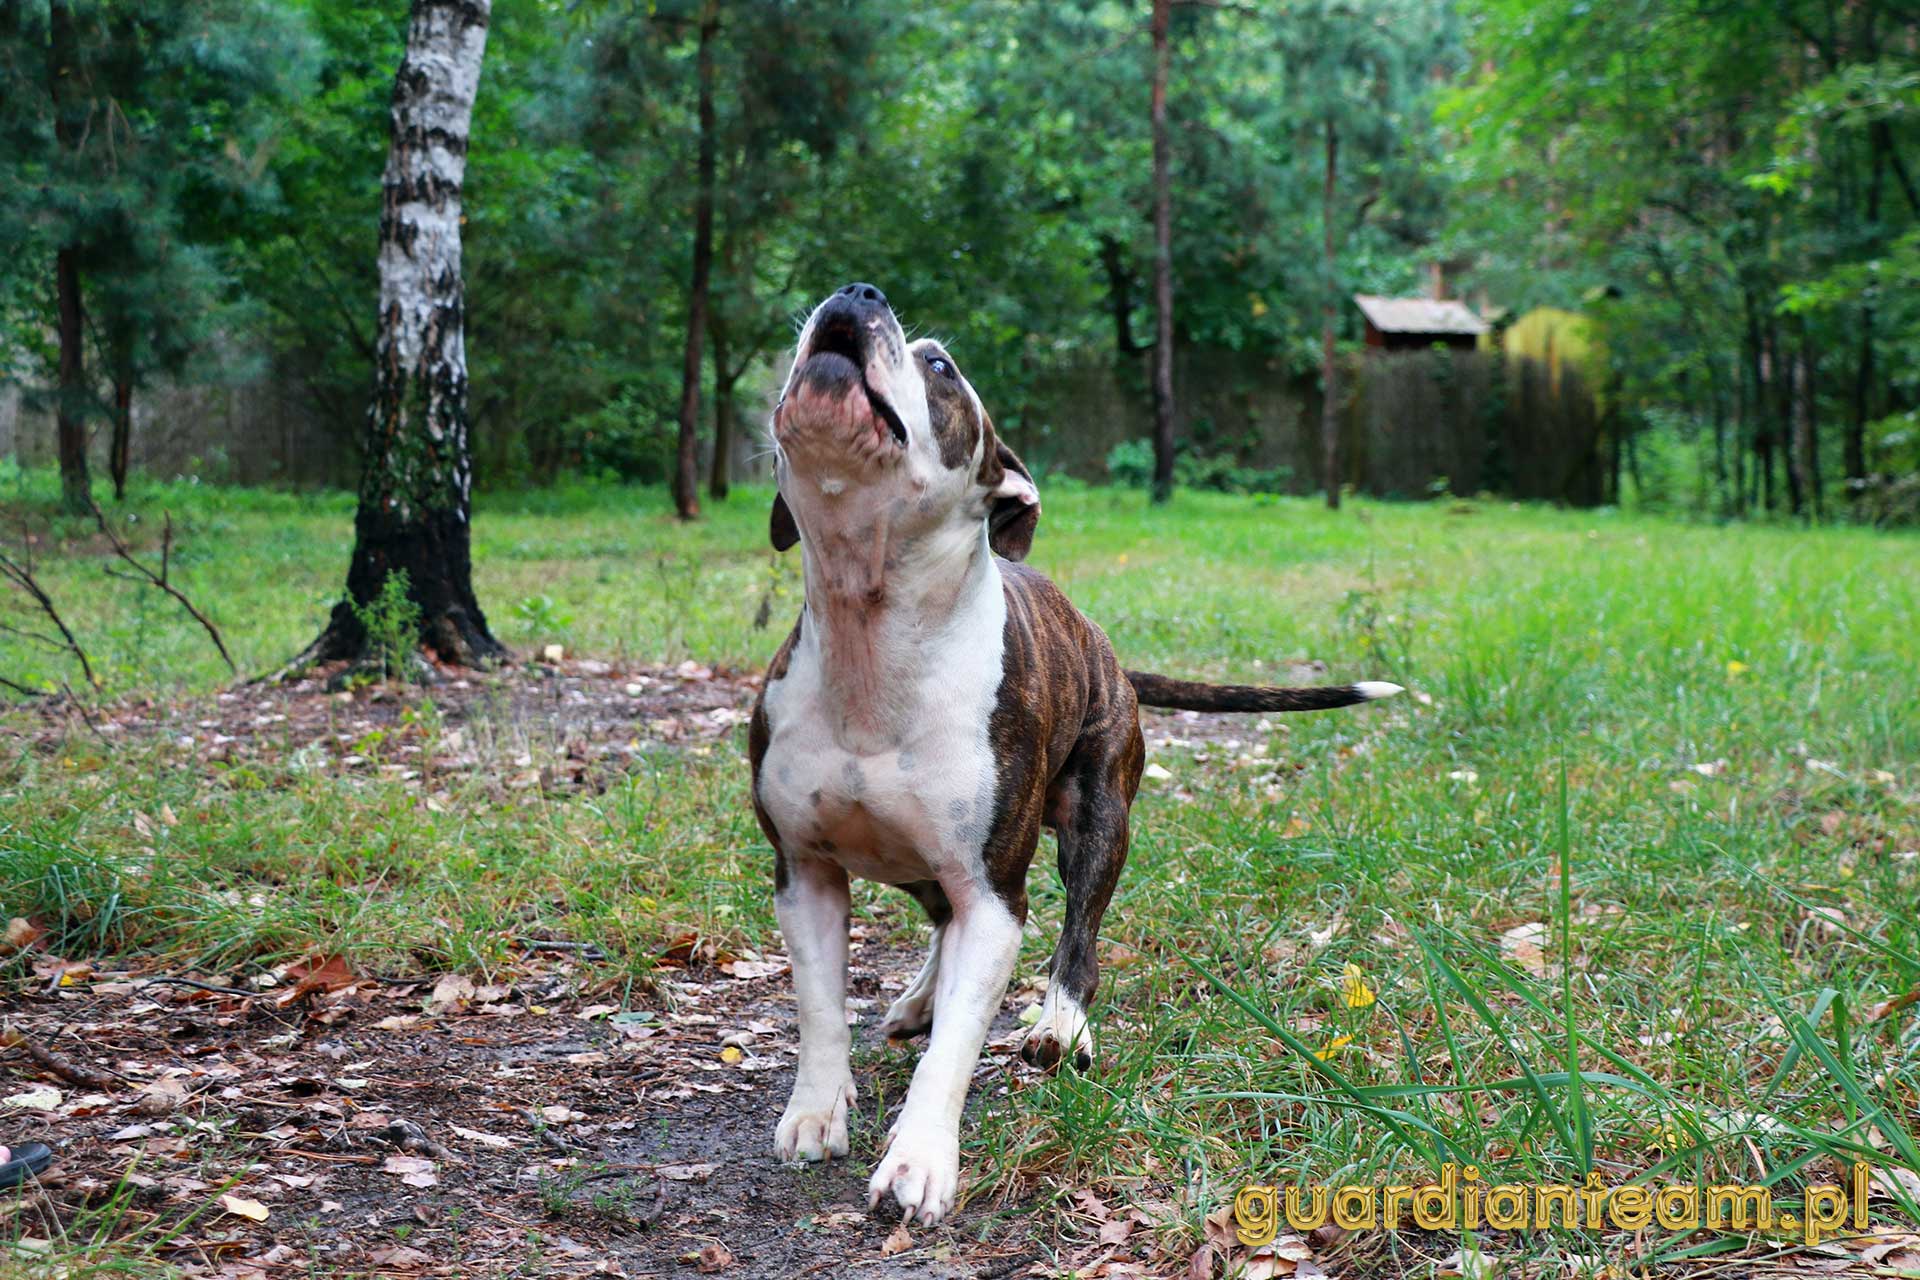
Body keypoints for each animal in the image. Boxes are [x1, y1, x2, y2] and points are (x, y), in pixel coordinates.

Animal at [749, 282, 1401, 1225]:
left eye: (941, 365)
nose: (856, 294)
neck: (871, 633)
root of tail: (1105, 647)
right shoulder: (804, 872)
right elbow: (819, 1008)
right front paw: (816, 1109)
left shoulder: (995, 893)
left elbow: (958, 1043)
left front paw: (919, 1158)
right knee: (940, 924)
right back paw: (920, 998)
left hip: (1098, 821)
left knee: (1077, 943)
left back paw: (1059, 1025)